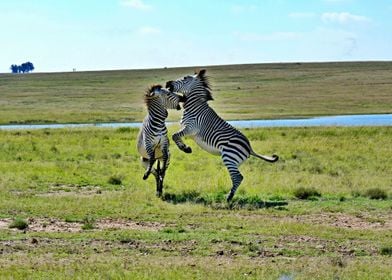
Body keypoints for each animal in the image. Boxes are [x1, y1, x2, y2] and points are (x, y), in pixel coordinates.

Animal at [165, 69, 278, 201]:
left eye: (185, 78)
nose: (167, 83)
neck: (195, 107)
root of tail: (249, 148)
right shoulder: (187, 128)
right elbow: (175, 135)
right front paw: (185, 147)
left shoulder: (192, 128)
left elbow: (175, 135)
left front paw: (185, 148)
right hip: (233, 160)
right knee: (238, 177)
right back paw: (230, 196)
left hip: (229, 157)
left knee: (238, 177)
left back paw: (229, 197)